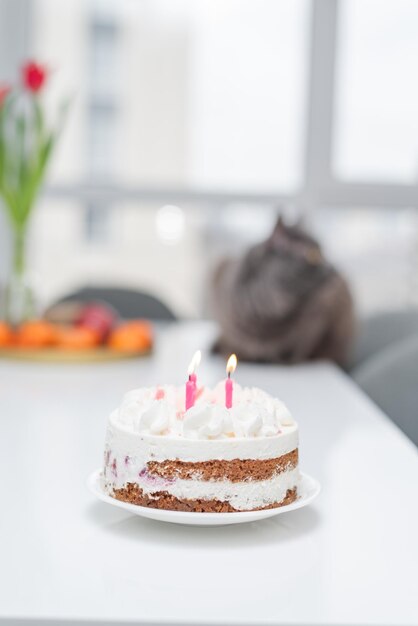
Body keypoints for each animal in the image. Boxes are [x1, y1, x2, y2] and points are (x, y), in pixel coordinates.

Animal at [211, 218, 354, 366]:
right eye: (312, 255)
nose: (334, 268)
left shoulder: (322, 313)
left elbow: (297, 346)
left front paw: (283, 359)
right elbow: (233, 341)